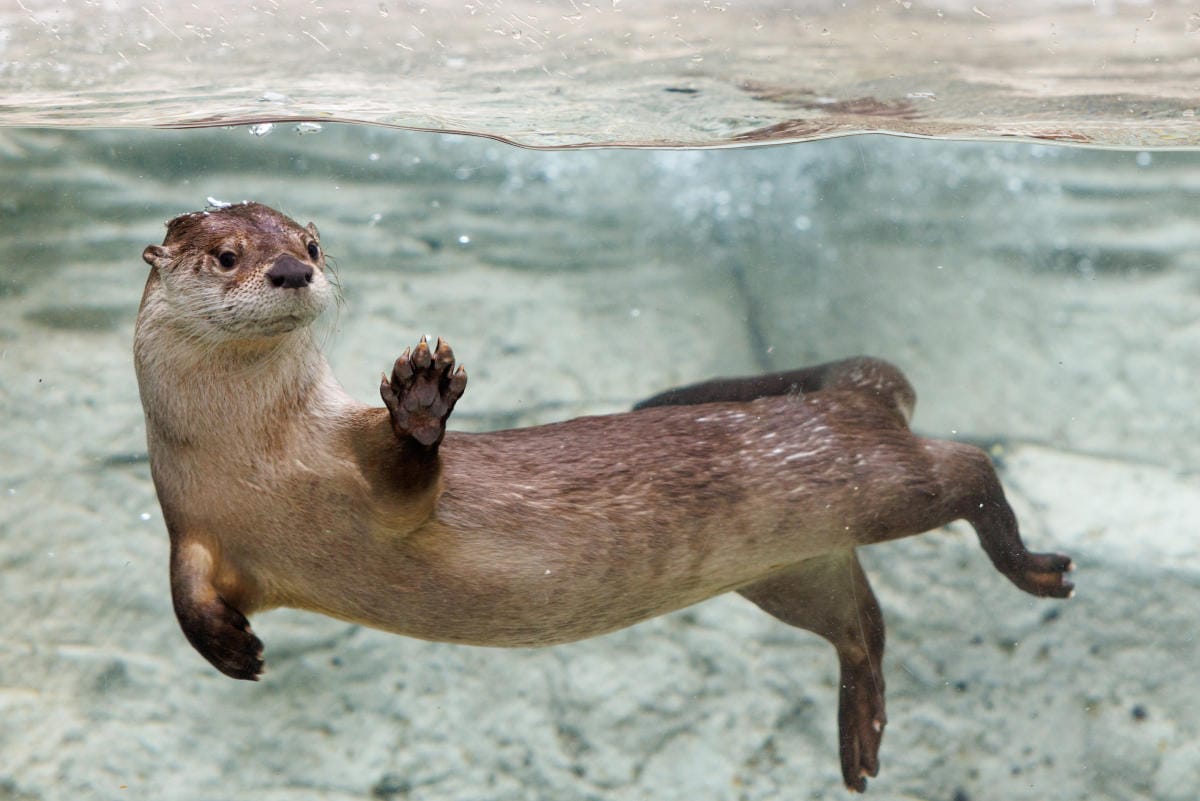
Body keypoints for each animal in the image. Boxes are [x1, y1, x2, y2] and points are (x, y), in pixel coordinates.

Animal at [134, 202, 1072, 792]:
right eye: (228, 254)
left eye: (313, 242)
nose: (292, 269)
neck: (264, 456)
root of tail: (850, 394)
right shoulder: (192, 521)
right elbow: (184, 589)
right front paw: (231, 646)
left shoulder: (369, 477)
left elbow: (412, 480)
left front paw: (424, 396)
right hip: (793, 565)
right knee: (860, 623)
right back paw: (863, 732)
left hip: (871, 477)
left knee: (968, 466)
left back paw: (1035, 566)